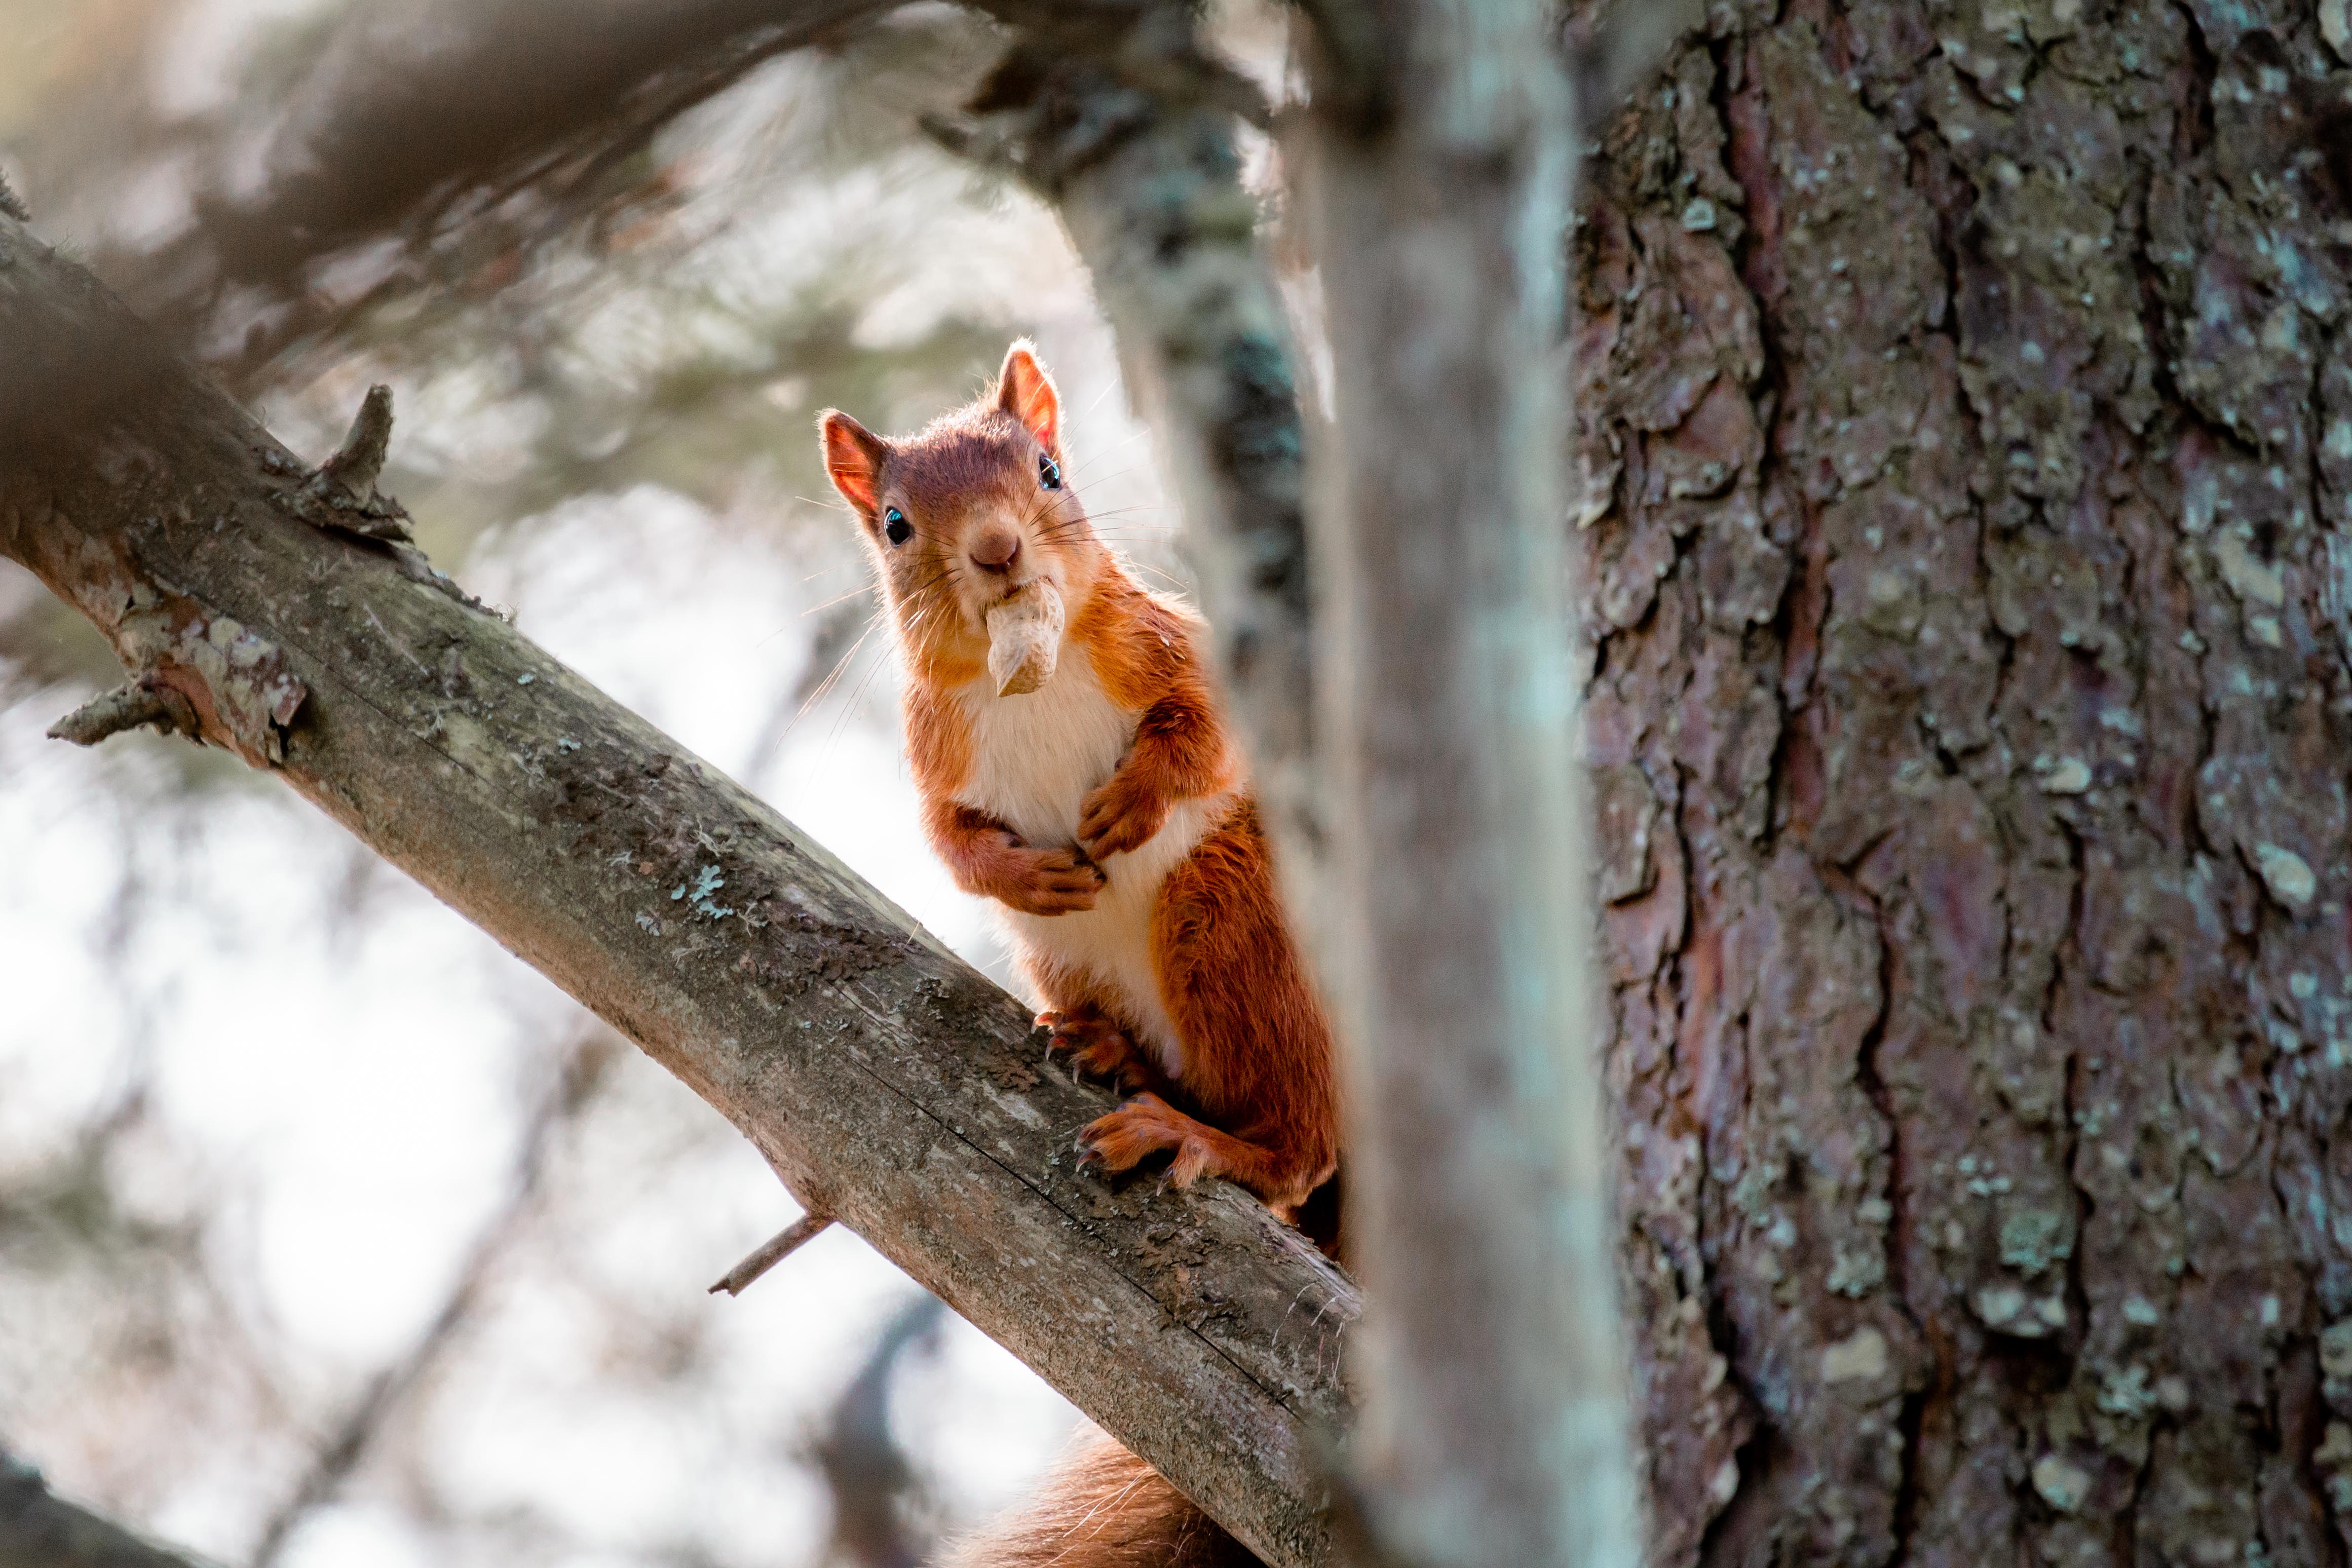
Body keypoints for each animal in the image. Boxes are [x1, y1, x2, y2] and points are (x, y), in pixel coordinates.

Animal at [818, 342, 1338, 1568]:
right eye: (897, 525)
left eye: (1048, 470)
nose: (997, 550)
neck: (1033, 668)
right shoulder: (933, 750)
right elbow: (952, 846)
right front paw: (1026, 875)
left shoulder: (1169, 644)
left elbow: (1208, 735)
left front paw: (1132, 802)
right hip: (1082, 962)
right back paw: (1111, 1050)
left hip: (1232, 923)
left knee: (1295, 1154)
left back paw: (1195, 1133)